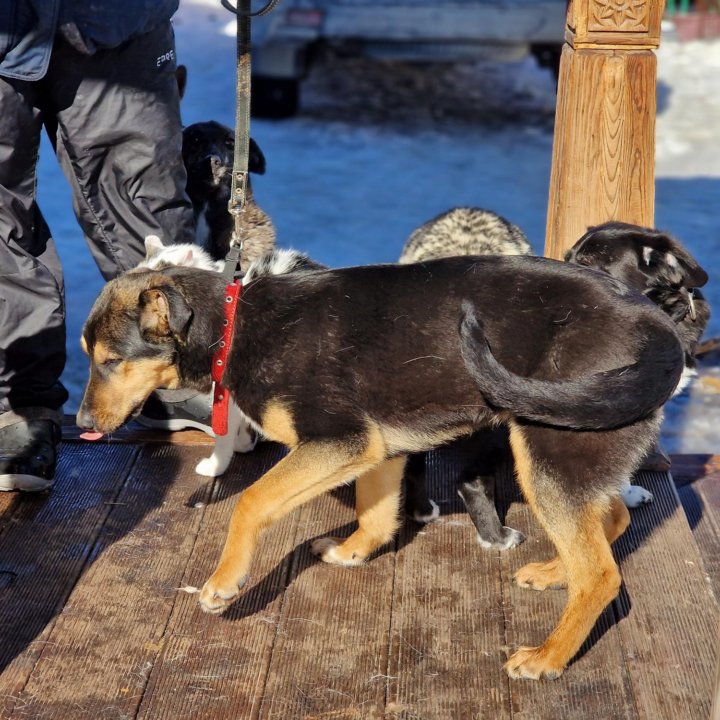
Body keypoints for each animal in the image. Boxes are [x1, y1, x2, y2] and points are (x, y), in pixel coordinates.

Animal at [76, 255, 684, 680]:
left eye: (110, 361)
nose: (80, 422)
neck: (232, 325)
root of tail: (661, 335)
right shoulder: (376, 448)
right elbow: (375, 512)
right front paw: (352, 553)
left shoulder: (336, 440)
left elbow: (250, 502)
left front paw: (225, 584)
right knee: (610, 526)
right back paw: (556, 572)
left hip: (547, 452)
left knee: (602, 573)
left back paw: (548, 657)